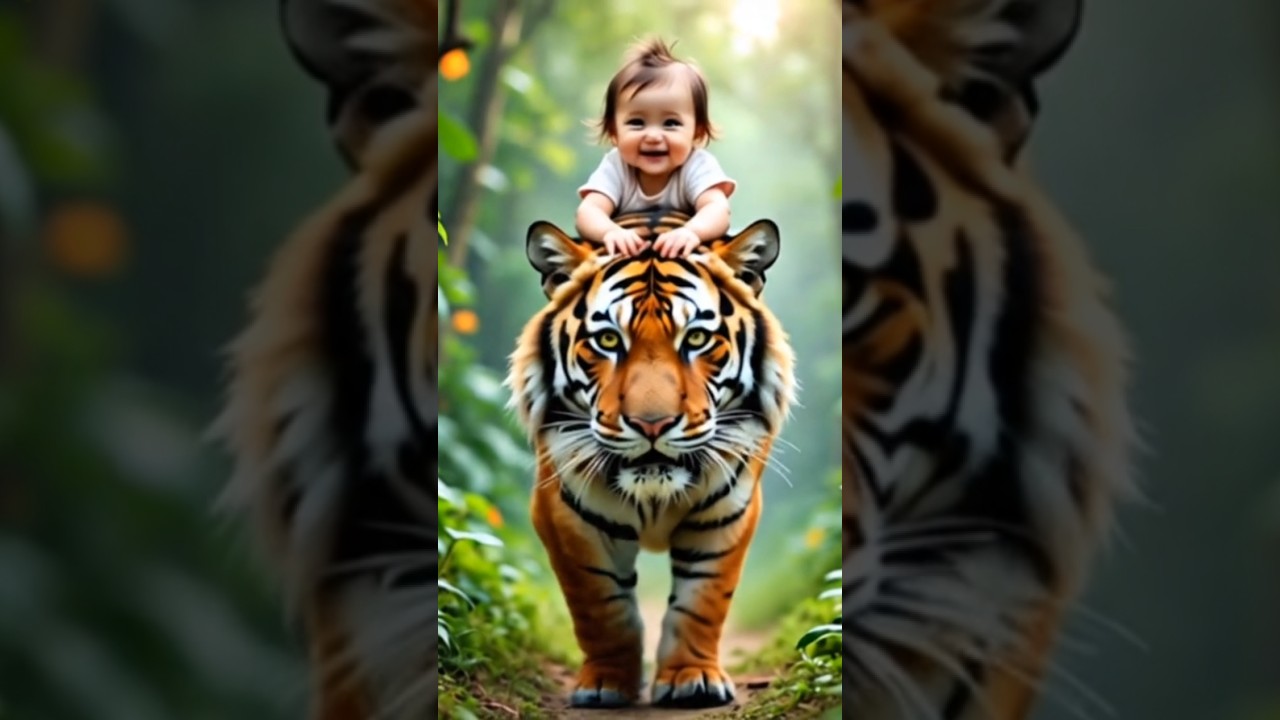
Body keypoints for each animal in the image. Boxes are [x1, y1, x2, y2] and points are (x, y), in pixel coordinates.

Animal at [504, 208, 797, 709]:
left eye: (696, 338)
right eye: (607, 340)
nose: (653, 425)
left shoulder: (727, 512)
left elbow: (702, 600)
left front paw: (692, 679)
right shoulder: (568, 516)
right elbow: (601, 606)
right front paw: (606, 683)